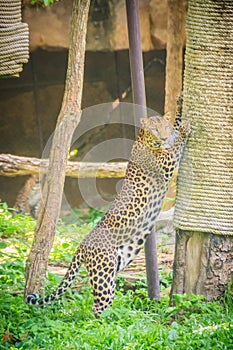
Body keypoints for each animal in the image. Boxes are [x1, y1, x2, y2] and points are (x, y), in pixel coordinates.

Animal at [26, 98, 190, 318]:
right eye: (155, 130)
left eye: (163, 127)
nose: (163, 136)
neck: (143, 138)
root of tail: (82, 244)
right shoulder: (165, 165)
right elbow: (176, 145)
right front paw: (185, 128)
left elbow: (174, 132)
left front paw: (180, 105)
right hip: (102, 274)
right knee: (98, 307)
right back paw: (112, 323)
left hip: (118, 263)